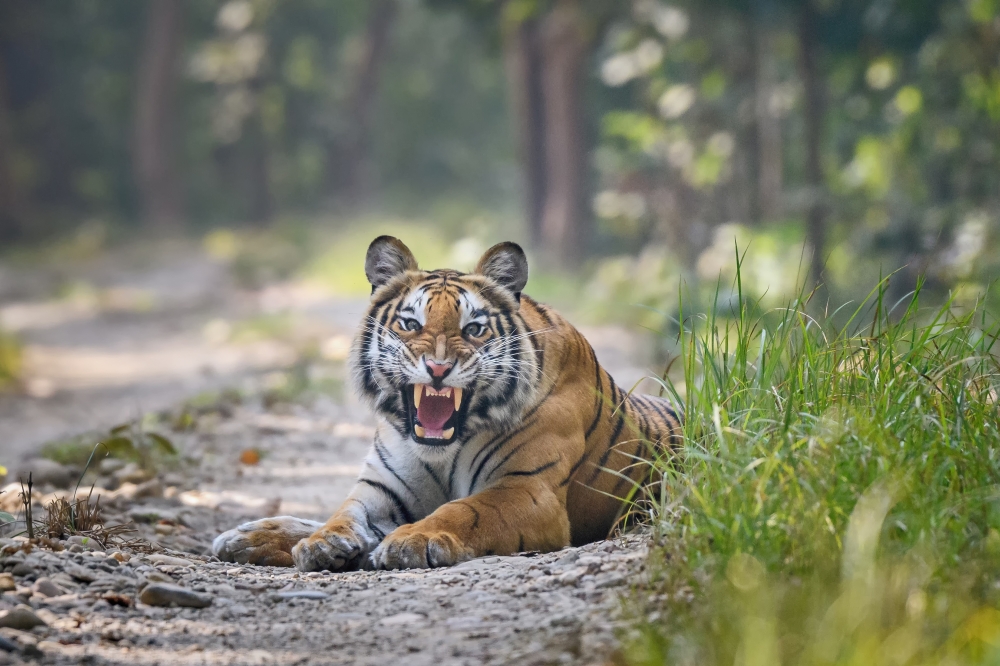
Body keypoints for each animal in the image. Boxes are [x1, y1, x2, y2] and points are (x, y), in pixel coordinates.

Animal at [212, 236, 681, 571]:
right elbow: (344, 513)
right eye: (410, 323)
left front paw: (411, 541)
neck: (442, 449)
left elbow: (464, 510)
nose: (437, 367)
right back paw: (246, 536)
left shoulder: (527, 489)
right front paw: (323, 543)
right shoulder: (383, 487)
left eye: (473, 329)